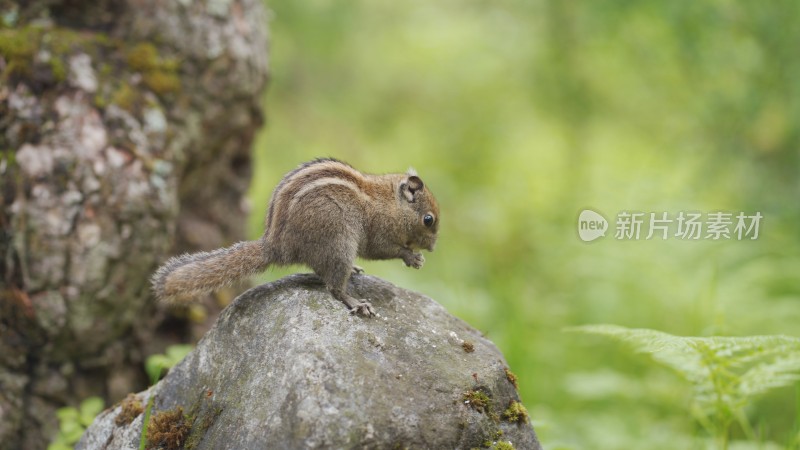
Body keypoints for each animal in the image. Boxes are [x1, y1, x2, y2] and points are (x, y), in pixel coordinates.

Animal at [153, 158, 440, 316]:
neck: (390, 201)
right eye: (428, 220)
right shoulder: (379, 231)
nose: (433, 248)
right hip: (339, 243)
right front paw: (411, 257)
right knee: (334, 288)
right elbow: (382, 249)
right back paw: (356, 302)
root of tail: (276, 245)